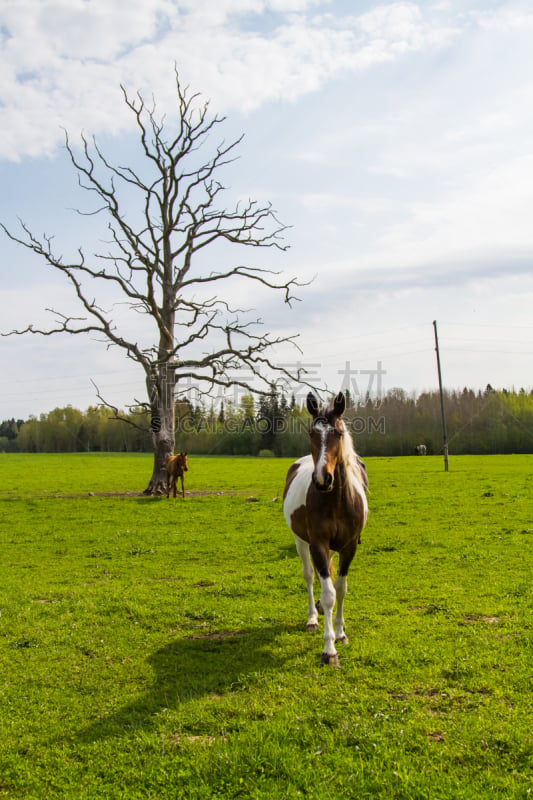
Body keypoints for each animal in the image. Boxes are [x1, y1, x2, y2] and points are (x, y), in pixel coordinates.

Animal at [282, 390, 366, 664]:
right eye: (311, 433)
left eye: (338, 433)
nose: (322, 479)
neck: (336, 501)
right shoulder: (317, 544)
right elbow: (328, 593)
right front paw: (329, 649)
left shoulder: (349, 547)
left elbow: (340, 589)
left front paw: (340, 633)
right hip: (301, 542)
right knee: (309, 576)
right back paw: (312, 617)